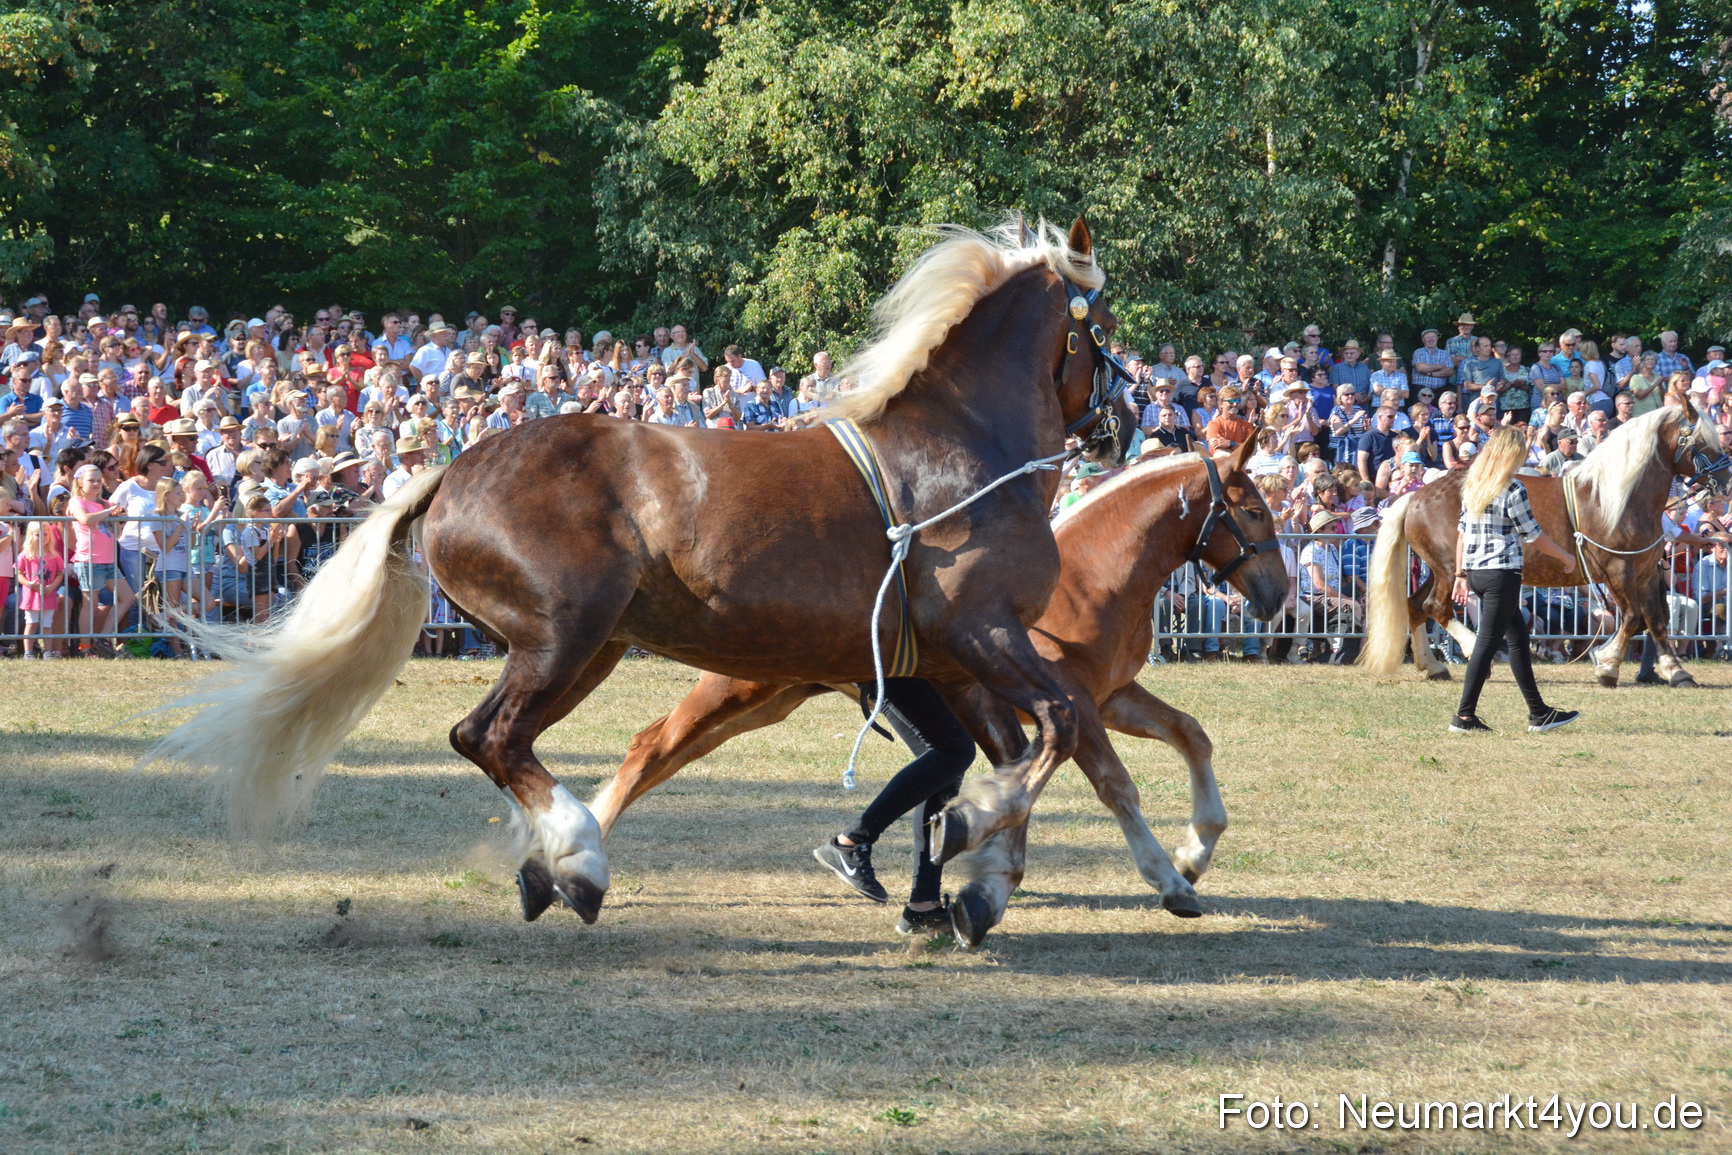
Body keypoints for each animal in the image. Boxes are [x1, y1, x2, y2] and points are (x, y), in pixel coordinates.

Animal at [148, 217, 1138, 926]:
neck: (967, 449)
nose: (1121, 424)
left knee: (500, 741)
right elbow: (1054, 727)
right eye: (1105, 329)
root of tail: (452, 472)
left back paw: (551, 867)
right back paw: (577, 862)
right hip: (565, 638)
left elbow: (1005, 751)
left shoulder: (950, 660)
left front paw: (974, 877)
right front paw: (976, 855)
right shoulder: (985, 630)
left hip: (587, 652)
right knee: (491, 737)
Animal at [585, 437, 1289, 945]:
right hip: (744, 690)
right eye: (1253, 510)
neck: (1092, 578)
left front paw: (1196, 849)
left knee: (661, 749)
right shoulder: (1077, 707)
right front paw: (1170, 880)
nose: (1279, 596)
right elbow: (1116, 787)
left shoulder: (1110, 698)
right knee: (652, 748)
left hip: (772, 699)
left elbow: (1190, 734)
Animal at [1362, 405, 1732, 688]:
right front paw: (1607, 665)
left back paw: (1433, 666)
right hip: (1450, 570)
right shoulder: (1619, 570)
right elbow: (1632, 618)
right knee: (1437, 607)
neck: (1617, 498)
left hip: (1443, 570)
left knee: (1415, 606)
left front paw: (1676, 672)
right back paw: (1470, 652)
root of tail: (1416, 496)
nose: (1725, 482)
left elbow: (1655, 620)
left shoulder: (1644, 572)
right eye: (1701, 441)